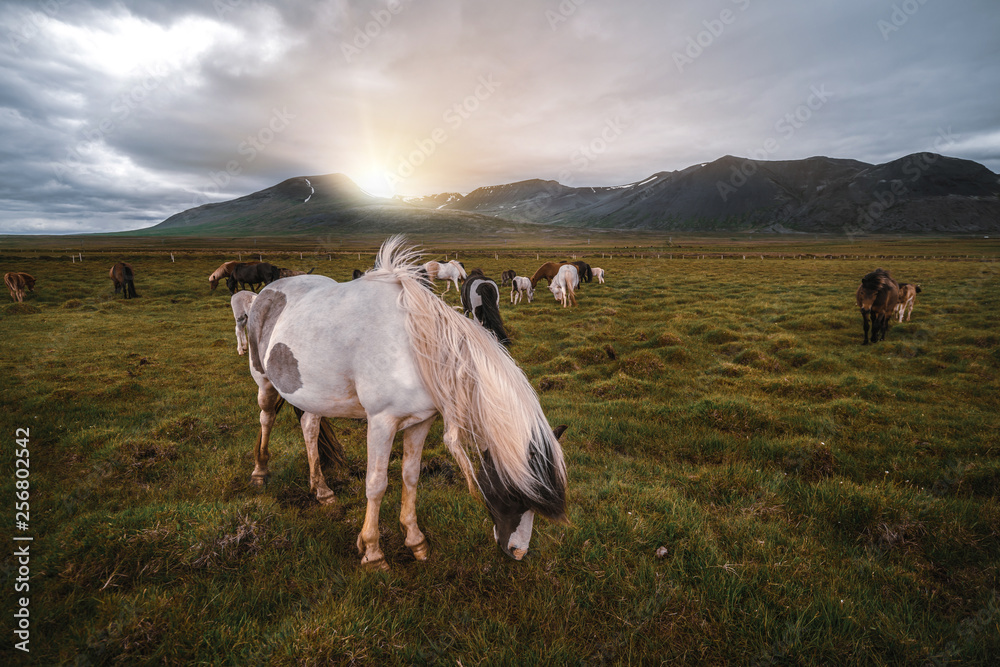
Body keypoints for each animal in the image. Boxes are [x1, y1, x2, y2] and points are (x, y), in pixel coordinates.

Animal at [245, 237, 568, 568]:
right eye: (516, 494)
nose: (518, 551)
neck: (417, 347)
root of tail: (270, 288)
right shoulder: (381, 422)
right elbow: (376, 484)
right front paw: (373, 552)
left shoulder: (421, 421)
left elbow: (410, 477)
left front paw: (415, 541)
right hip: (264, 381)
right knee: (266, 417)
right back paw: (260, 472)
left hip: (313, 395)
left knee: (309, 427)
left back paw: (322, 491)